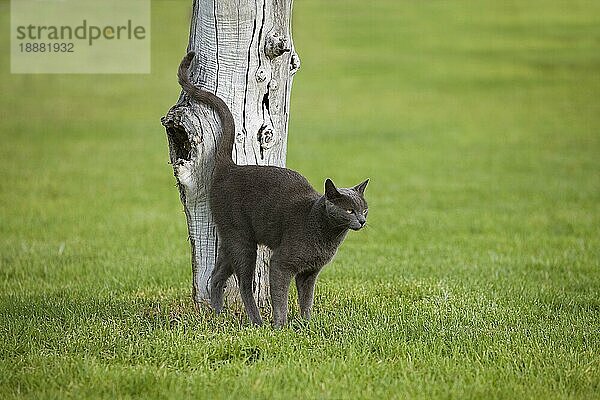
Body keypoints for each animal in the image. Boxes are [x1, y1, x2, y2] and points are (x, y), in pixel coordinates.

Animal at [176, 51, 368, 326]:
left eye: (365, 209)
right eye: (350, 211)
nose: (362, 221)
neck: (327, 235)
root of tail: (230, 167)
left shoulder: (309, 273)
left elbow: (306, 300)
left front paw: (307, 324)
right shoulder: (281, 263)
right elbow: (281, 297)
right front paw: (281, 325)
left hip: (231, 238)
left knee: (217, 275)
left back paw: (218, 314)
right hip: (243, 239)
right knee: (244, 284)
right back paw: (256, 321)